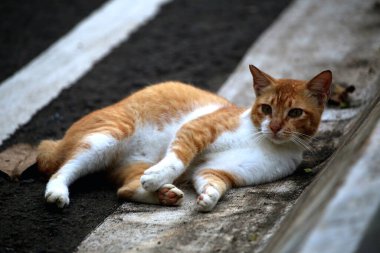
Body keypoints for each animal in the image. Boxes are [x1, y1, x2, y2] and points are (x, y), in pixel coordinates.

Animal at [36, 64, 332, 211]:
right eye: (266, 109)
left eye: (295, 112)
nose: (275, 126)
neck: (262, 141)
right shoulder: (196, 129)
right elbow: (178, 157)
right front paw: (159, 175)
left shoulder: (222, 171)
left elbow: (213, 181)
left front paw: (209, 197)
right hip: (108, 137)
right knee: (63, 169)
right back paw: (57, 192)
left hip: (131, 164)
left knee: (126, 189)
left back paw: (164, 195)